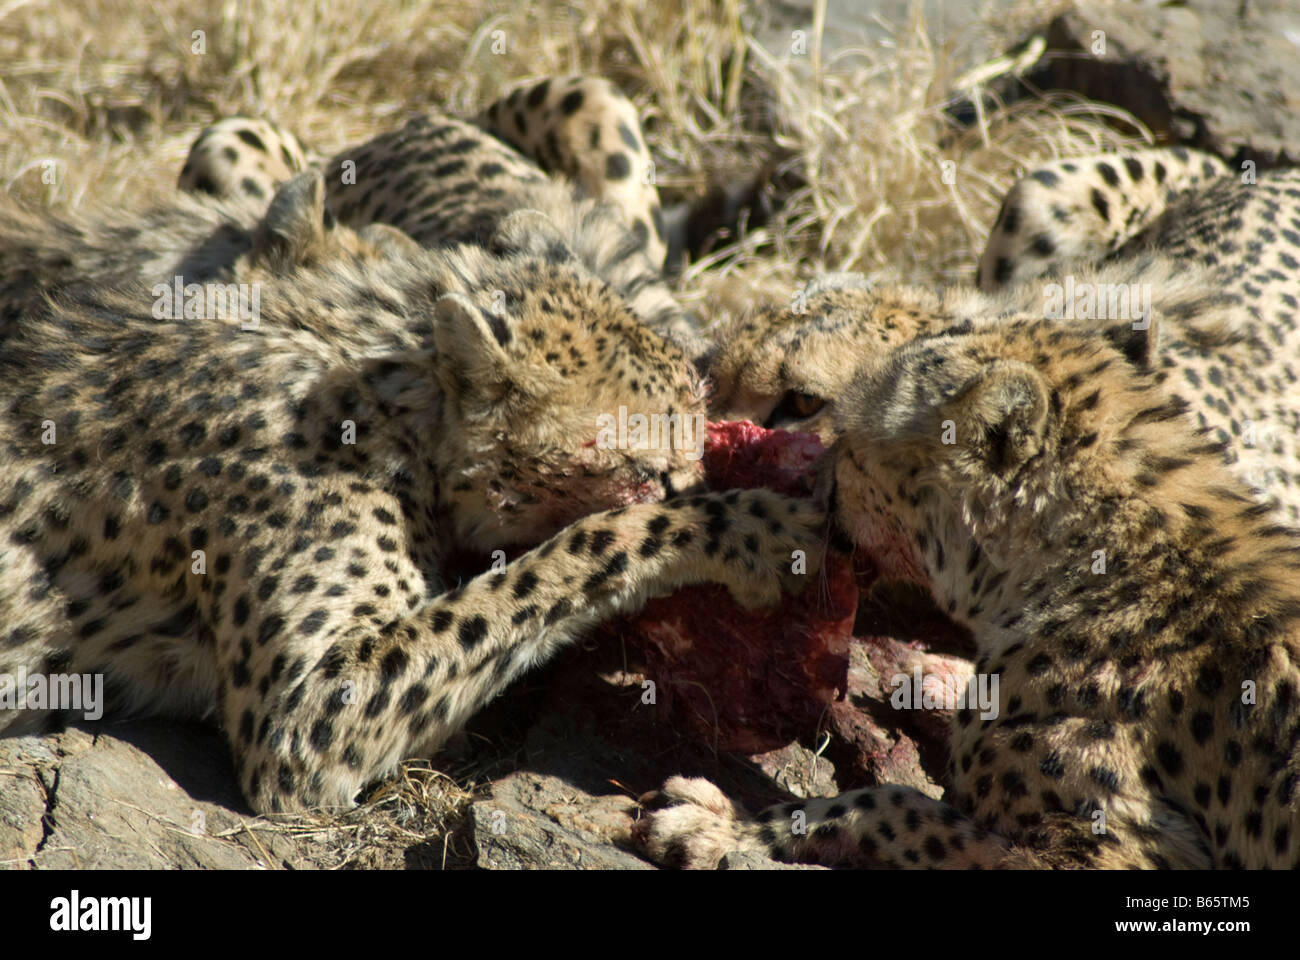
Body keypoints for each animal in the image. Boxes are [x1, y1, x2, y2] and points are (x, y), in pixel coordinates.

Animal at [0, 167, 816, 811]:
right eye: (650, 471)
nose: (703, 480)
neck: (383, 394)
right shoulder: (300, 724)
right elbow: (569, 552)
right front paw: (748, 528)